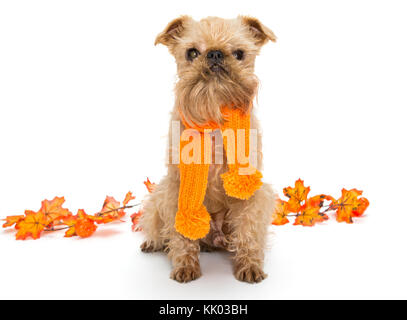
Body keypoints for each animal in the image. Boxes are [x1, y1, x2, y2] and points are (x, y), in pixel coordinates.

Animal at [139, 16, 278, 284]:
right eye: (192, 53)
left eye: (239, 53)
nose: (215, 54)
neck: (213, 117)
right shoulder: (176, 188)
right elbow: (182, 234)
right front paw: (185, 265)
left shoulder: (253, 191)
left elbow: (248, 230)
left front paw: (249, 264)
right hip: (158, 196)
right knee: (156, 225)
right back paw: (153, 242)